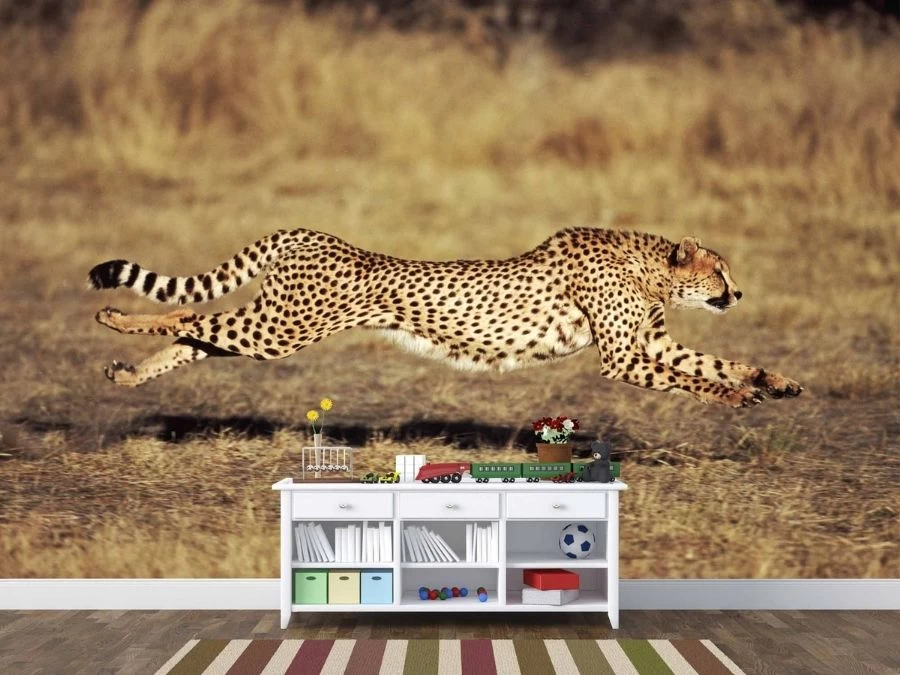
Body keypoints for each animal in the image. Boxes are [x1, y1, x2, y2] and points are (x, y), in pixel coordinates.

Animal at [87, 227, 803, 407]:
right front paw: (734, 398)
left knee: (194, 335)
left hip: (272, 327)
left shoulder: (649, 344)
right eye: (719, 271)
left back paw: (125, 374)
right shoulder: (622, 356)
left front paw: (773, 381)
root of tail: (308, 233)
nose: (738, 294)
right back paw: (115, 318)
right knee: (184, 312)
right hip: (282, 329)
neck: (650, 266)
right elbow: (693, 377)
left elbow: (715, 361)